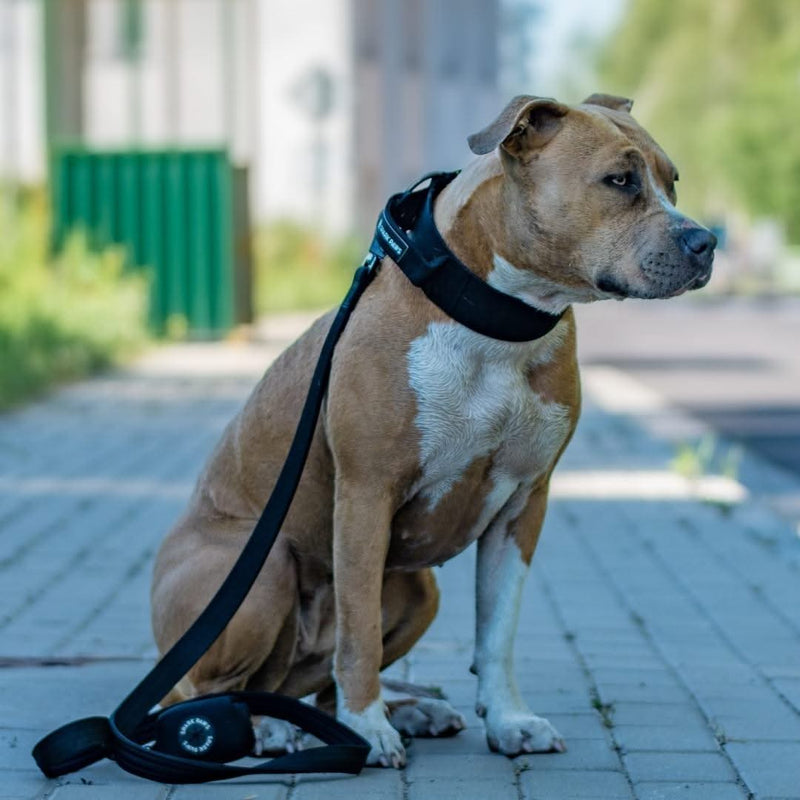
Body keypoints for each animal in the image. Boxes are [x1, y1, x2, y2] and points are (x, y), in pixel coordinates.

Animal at [152, 90, 720, 764]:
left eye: (672, 181)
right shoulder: (365, 496)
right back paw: (267, 727)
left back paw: (406, 712)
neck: (501, 322)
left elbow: (497, 630)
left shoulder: (523, 505)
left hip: (417, 591)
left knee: (310, 687)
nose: (707, 241)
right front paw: (368, 729)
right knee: (202, 691)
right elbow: (359, 633)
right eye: (620, 181)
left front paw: (508, 720)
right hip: (260, 574)